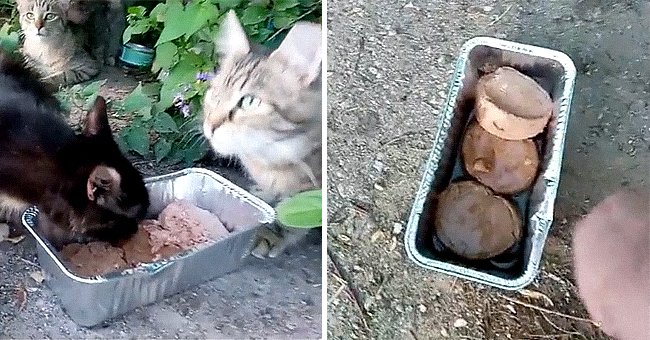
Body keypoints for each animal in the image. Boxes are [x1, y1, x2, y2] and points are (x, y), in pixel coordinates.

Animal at [201, 10, 320, 258]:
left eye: (249, 102)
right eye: (214, 93)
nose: (211, 125)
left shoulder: (310, 186)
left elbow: (290, 211)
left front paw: (270, 233)